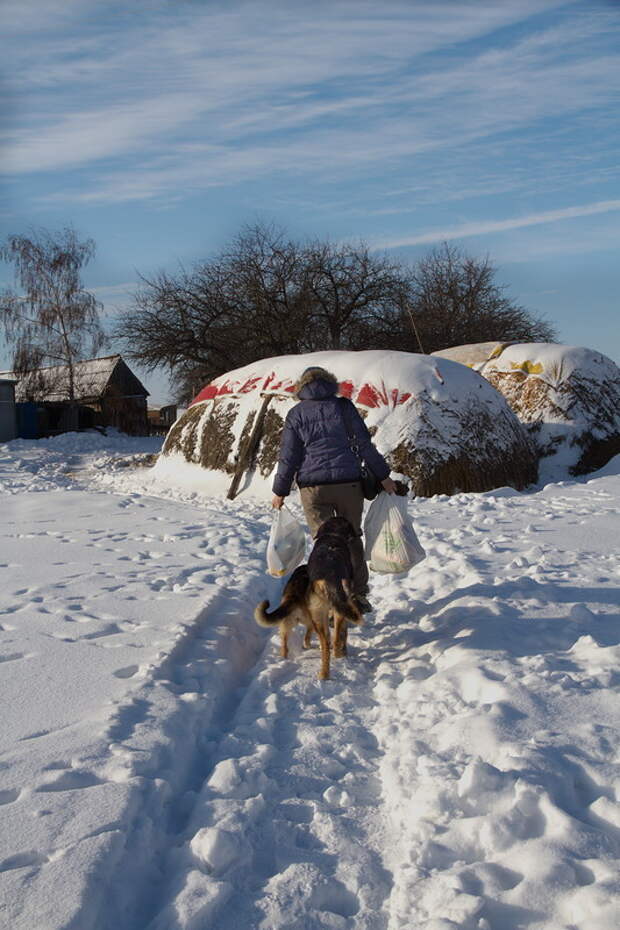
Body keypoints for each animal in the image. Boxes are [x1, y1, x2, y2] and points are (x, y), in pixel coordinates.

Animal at [256, 516, 364, 676]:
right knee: (335, 639)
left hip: (307, 619)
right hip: (331, 613)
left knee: (318, 642)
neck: (332, 535)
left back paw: (320, 673)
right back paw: (337, 657)